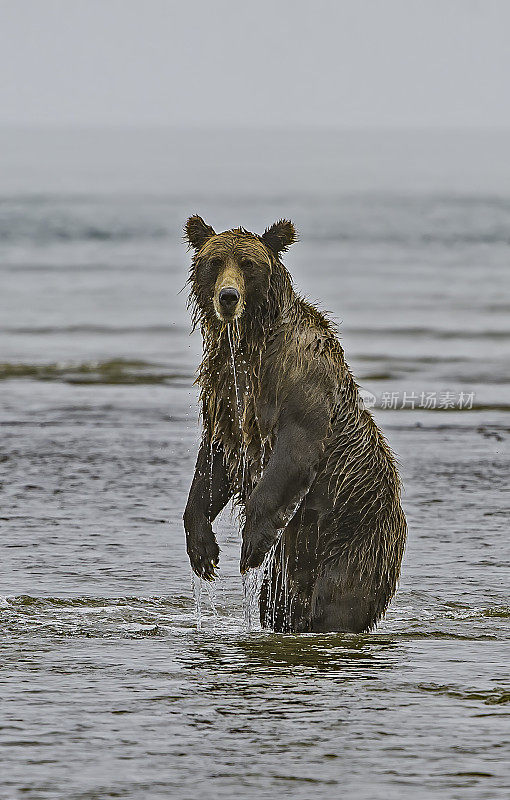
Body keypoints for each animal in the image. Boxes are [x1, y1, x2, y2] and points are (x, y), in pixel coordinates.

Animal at [183, 214, 406, 632]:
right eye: (215, 262)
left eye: (248, 265)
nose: (228, 297)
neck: (250, 343)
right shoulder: (227, 392)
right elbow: (215, 461)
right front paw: (203, 550)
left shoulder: (299, 382)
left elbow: (294, 452)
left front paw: (251, 546)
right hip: (291, 567)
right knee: (277, 603)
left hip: (353, 539)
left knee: (339, 601)